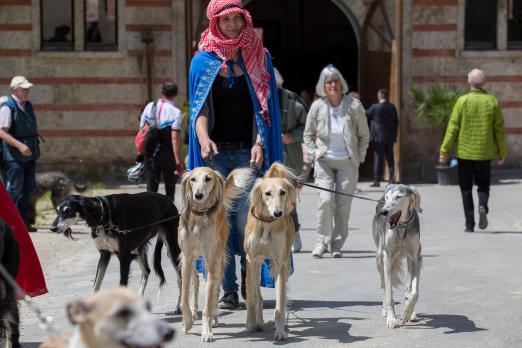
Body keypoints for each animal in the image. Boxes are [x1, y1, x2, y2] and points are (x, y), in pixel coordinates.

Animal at [177, 167, 250, 342]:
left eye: (208, 178)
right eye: (193, 179)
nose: (198, 195)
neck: (199, 216)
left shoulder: (211, 260)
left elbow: (209, 302)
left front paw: (207, 331)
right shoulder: (187, 258)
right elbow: (184, 299)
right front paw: (187, 322)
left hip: (218, 259)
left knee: (215, 290)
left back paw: (215, 318)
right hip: (195, 263)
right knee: (196, 284)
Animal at [242, 162, 294, 340]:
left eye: (283, 192)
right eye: (267, 193)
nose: (278, 213)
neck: (267, 224)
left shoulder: (280, 263)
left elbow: (280, 303)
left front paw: (280, 331)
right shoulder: (251, 260)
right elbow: (251, 299)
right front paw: (250, 324)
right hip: (256, 265)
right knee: (257, 295)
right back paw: (257, 322)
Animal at [372, 184, 420, 328]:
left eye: (398, 197)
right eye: (387, 197)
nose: (384, 211)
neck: (402, 227)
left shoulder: (416, 257)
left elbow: (414, 292)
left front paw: (406, 315)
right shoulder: (388, 258)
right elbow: (389, 292)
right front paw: (391, 319)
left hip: (408, 260)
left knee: (408, 288)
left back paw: (411, 313)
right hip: (379, 259)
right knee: (384, 285)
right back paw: (384, 310)